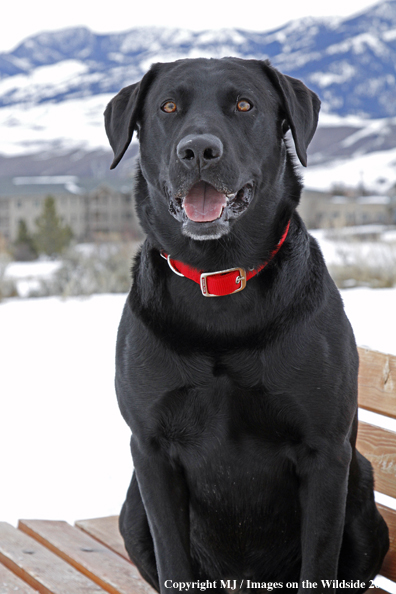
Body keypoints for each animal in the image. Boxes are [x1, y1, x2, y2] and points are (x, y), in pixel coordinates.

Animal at [103, 56, 388, 592]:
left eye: (243, 105)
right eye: (168, 106)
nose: (198, 150)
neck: (219, 281)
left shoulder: (326, 452)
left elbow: (319, 563)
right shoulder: (150, 450)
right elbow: (174, 563)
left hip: (363, 490)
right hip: (131, 508)